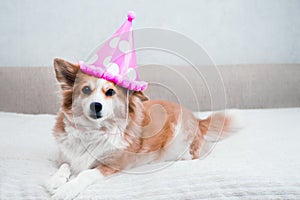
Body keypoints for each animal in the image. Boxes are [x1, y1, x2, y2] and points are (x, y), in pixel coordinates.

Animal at [44, 57, 237, 200]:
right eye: (85, 90)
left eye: (110, 92)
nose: (96, 105)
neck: (93, 131)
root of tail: (197, 119)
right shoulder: (65, 155)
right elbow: (65, 165)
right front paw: (55, 180)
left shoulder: (115, 163)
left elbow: (86, 174)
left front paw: (66, 190)